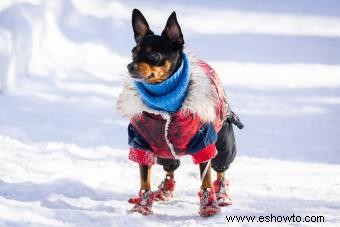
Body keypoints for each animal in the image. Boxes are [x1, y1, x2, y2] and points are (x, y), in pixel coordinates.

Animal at [117, 8, 242, 217]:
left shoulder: (204, 144)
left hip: (224, 143)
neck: (165, 103)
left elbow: (206, 179)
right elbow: (144, 179)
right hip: (163, 150)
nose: (130, 66)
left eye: (156, 55)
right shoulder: (142, 145)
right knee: (170, 168)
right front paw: (142, 206)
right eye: (133, 52)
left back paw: (222, 195)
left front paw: (208, 205)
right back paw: (165, 190)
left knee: (220, 169)